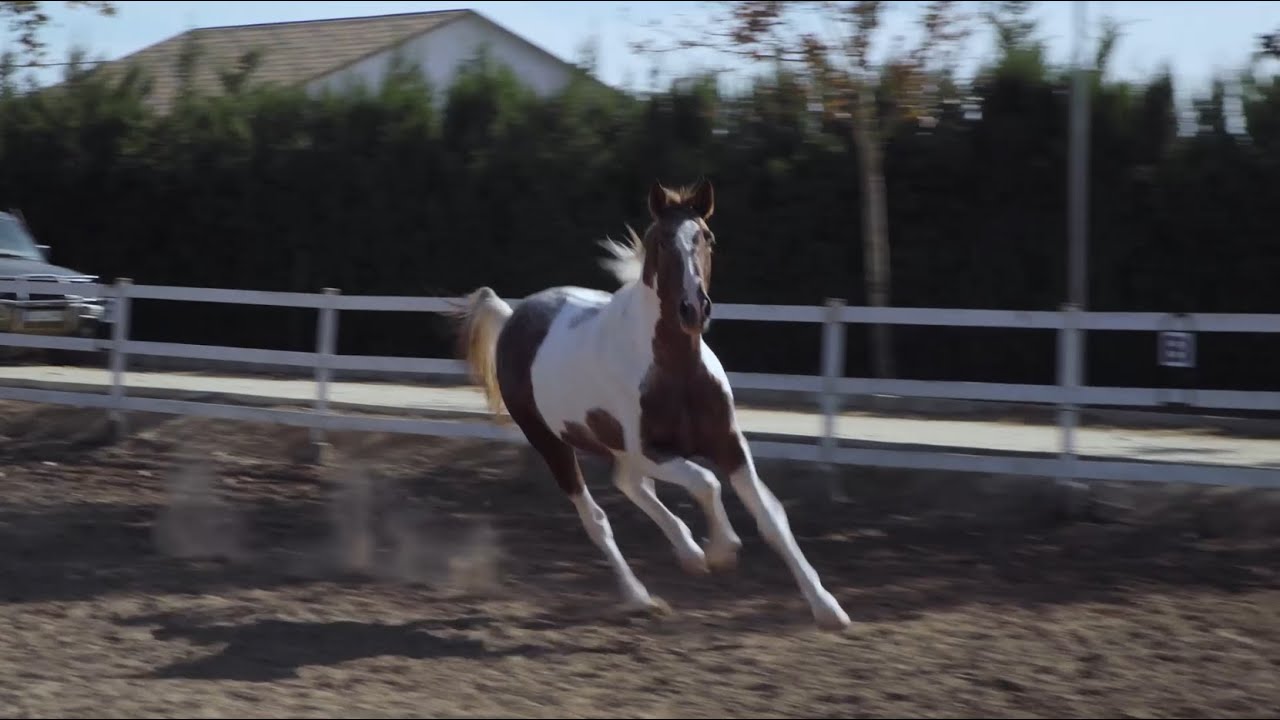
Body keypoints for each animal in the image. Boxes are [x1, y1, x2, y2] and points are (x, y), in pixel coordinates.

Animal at [449, 179, 851, 631]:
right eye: (660, 241)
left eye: (706, 237)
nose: (694, 309)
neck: (675, 372)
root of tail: (512, 316)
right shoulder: (650, 449)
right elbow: (706, 483)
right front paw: (721, 550)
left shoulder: (729, 444)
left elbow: (770, 517)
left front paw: (827, 608)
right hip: (553, 443)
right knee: (598, 518)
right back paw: (643, 595)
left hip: (611, 446)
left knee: (629, 484)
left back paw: (685, 554)